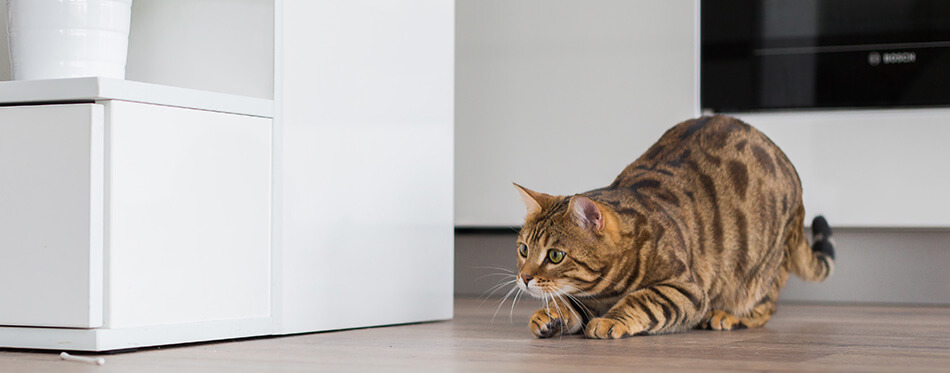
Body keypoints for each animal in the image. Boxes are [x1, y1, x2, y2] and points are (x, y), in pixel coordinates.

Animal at [516, 115, 836, 338]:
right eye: (523, 250)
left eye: (555, 255)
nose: (524, 278)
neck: (603, 291)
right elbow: (569, 301)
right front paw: (552, 314)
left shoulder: (686, 289)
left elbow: (641, 300)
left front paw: (610, 319)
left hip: (761, 268)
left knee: (766, 306)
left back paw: (729, 316)